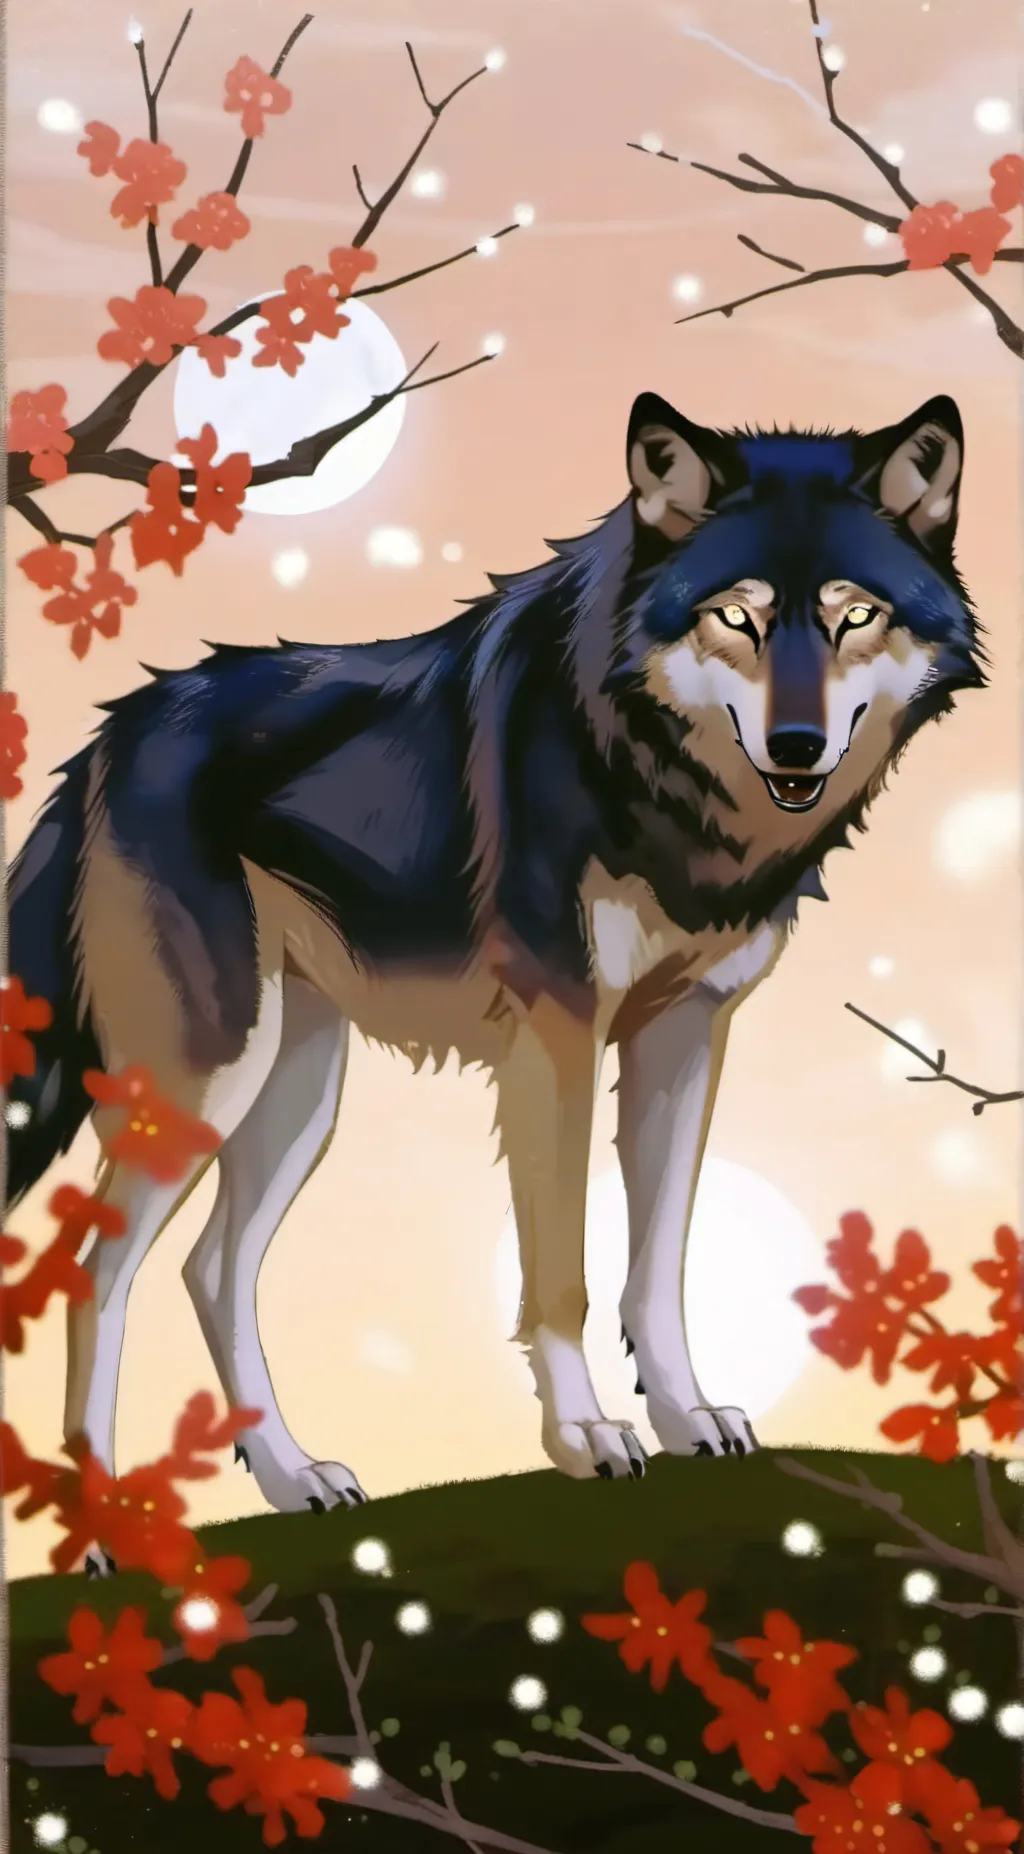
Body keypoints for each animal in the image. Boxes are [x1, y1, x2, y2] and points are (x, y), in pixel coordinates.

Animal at [7, 390, 982, 1518]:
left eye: (850, 615)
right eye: (735, 616)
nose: (796, 746)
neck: (644, 767)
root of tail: (104, 742)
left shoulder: (685, 1034)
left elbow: (659, 1268)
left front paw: (686, 1419)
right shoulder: (558, 1034)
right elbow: (562, 1273)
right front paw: (586, 1437)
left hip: (294, 1091)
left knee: (210, 1270)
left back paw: (294, 1478)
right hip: (208, 1078)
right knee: (96, 1274)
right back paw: (109, 1520)